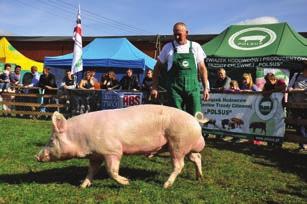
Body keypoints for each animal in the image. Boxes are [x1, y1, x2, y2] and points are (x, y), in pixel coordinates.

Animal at [35, 104, 207, 189]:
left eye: (51, 141)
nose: (36, 156)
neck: (82, 139)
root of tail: (195, 120)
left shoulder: (113, 150)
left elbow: (111, 171)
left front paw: (126, 182)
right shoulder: (96, 155)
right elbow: (91, 170)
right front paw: (82, 186)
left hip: (178, 143)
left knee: (179, 165)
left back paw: (166, 185)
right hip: (185, 146)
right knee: (197, 157)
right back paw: (199, 178)